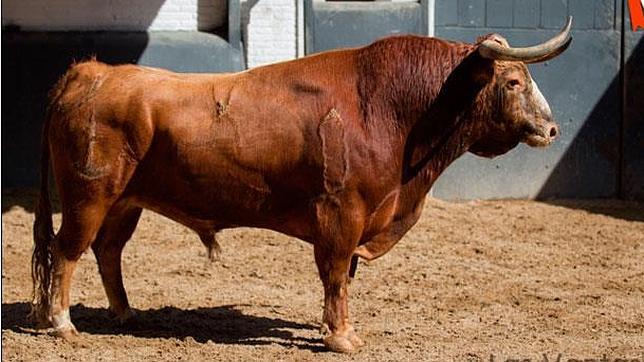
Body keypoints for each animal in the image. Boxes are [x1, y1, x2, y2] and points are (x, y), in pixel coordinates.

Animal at [32, 17, 572, 354]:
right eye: (513, 82)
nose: (551, 130)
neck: (390, 109)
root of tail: (90, 71)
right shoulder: (341, 215)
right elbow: (335, 275)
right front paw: (341, 337)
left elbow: (344, 277)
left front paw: (336, 327)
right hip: (88, 197)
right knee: (67, 249)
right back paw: (62, 323)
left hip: (125, 203)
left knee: (107, 250)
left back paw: (125, 314)